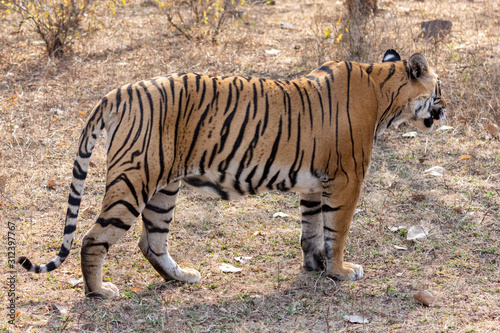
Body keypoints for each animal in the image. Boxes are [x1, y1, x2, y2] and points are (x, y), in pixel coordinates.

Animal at [18, 48, 446, 296]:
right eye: (439, 90)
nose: (446, 110)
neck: (384, 92)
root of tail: (119, 91)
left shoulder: (314, 182)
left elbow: (312, 229)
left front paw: (315, 268)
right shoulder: (346, 179)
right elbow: (336, 231)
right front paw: (341, 270)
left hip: (163, 188)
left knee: (151, 241)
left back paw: (182, 277)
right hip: (134, 180)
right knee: (94, 239)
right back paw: (100, 292)